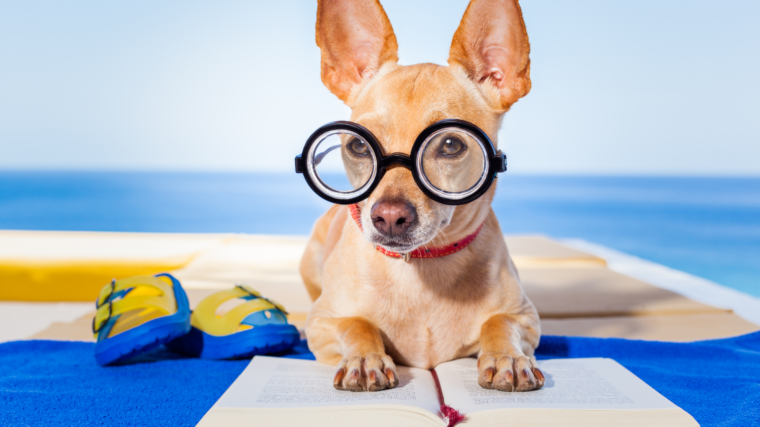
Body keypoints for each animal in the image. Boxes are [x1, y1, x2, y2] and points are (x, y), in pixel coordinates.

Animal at [296, 0, 540, 394]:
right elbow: (356, 323)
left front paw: (509, 357)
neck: (421, 269)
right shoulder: (322, 322)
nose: (389, 217)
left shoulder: (526, 317)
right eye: (358, 146)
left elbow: (499, 322)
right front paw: (365, 358)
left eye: (451, 144)